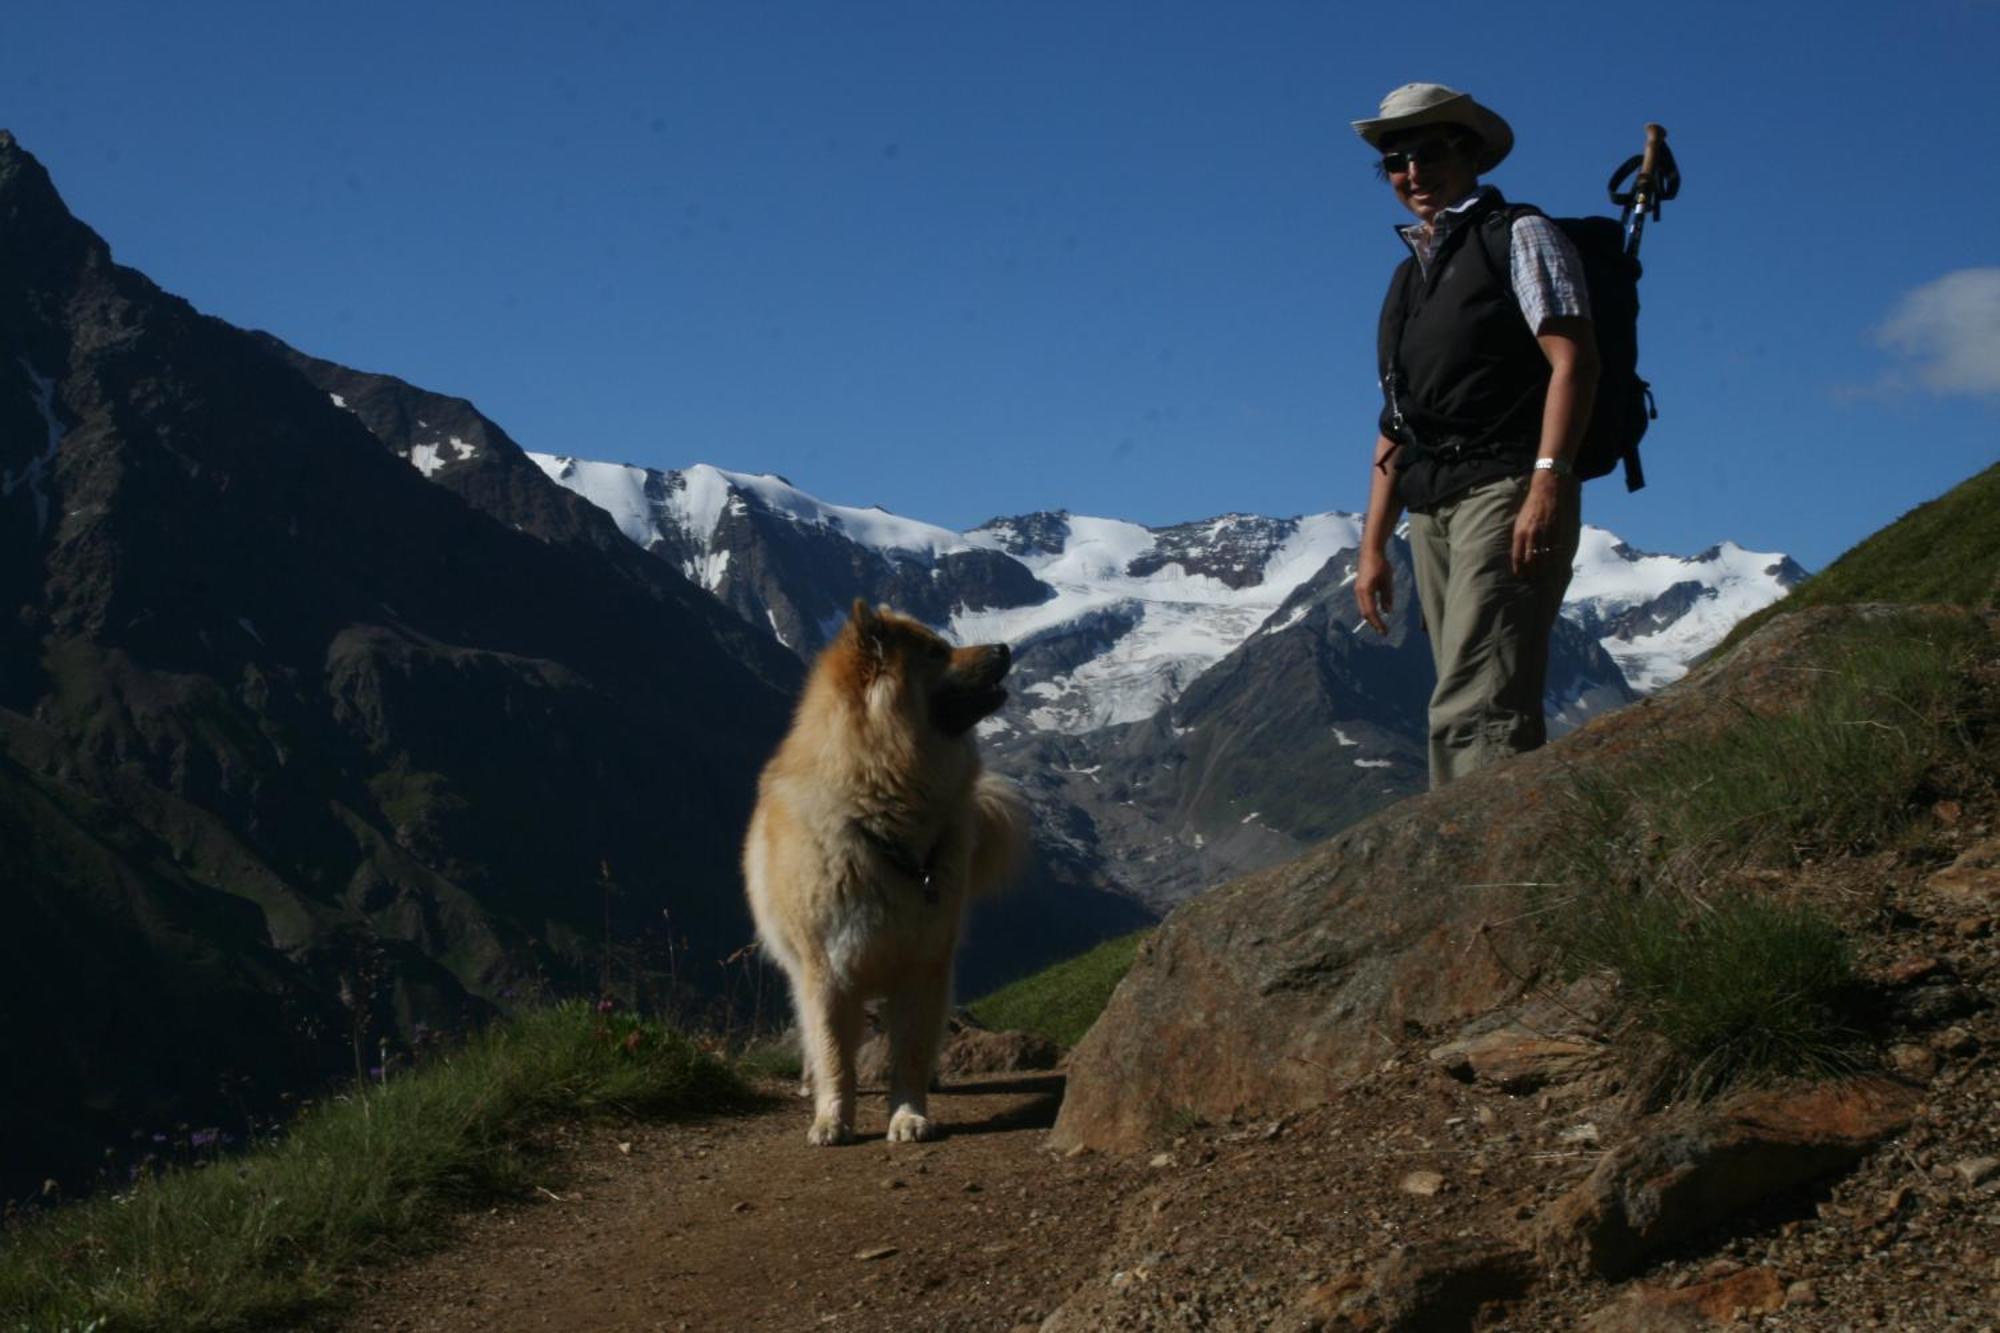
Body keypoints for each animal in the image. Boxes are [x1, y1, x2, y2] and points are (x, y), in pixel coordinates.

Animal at [752, 596, 1032, 1136]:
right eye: (936, 652)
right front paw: (832, 1118)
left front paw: (908, 1115)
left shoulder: (922, 962)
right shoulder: (828, 971)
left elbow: (911, 1051)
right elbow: (834, 1053)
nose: (1005, 648)